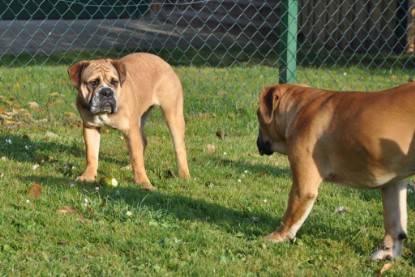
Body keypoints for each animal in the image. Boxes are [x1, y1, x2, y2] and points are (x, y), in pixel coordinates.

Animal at [67, 52, 191, 190]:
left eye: (114, 82)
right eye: (93, 83)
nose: (106, 92)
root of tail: (163, 62)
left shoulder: (131, 131)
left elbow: (137, 159)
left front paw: (144, 183)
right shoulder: (91, 128)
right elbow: (91, 155)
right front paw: (87, 176)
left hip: (172, 114)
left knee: (179, 147)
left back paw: (184, 175)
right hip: (140, 119)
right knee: (142, 143)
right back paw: (128, 167)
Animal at [256, 82, 415, 258]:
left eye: (257, 114)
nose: (258, 141)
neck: (298, 109)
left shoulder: (303, 187)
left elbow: (289, 218)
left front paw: (277, 236)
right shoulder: (393, 184)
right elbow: (394, 222)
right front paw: (387, 252)